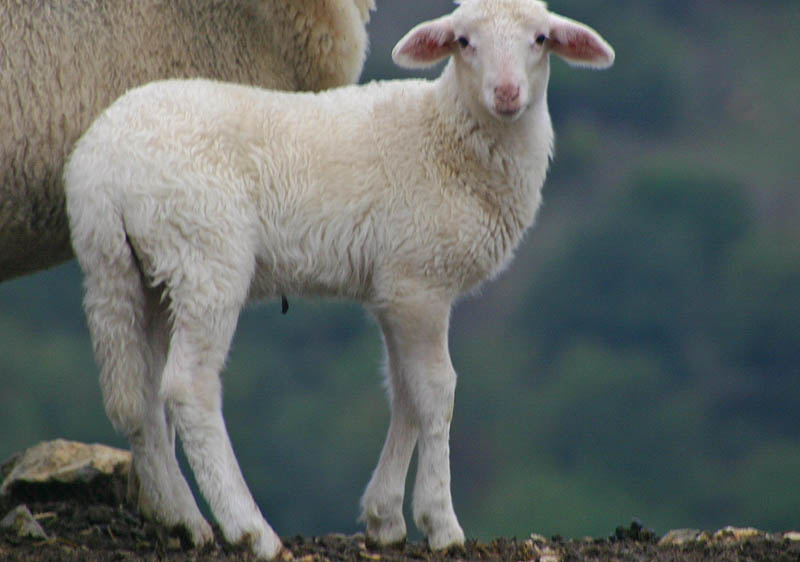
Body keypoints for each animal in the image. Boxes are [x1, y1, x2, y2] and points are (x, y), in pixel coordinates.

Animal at [63, 0, 614, 558]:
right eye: (463, 41)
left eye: (541, 38)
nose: (507, 94)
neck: (444, 135)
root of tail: (102, 167)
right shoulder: (420, 280)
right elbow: (436, 392)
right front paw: (440, 523)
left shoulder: (394, 285)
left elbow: (403, 391)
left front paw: (385, 517)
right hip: (204, 252)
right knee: (188, 388)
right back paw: (250, 528)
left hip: (127, 270)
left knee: (138, 396)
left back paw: (183, 519)